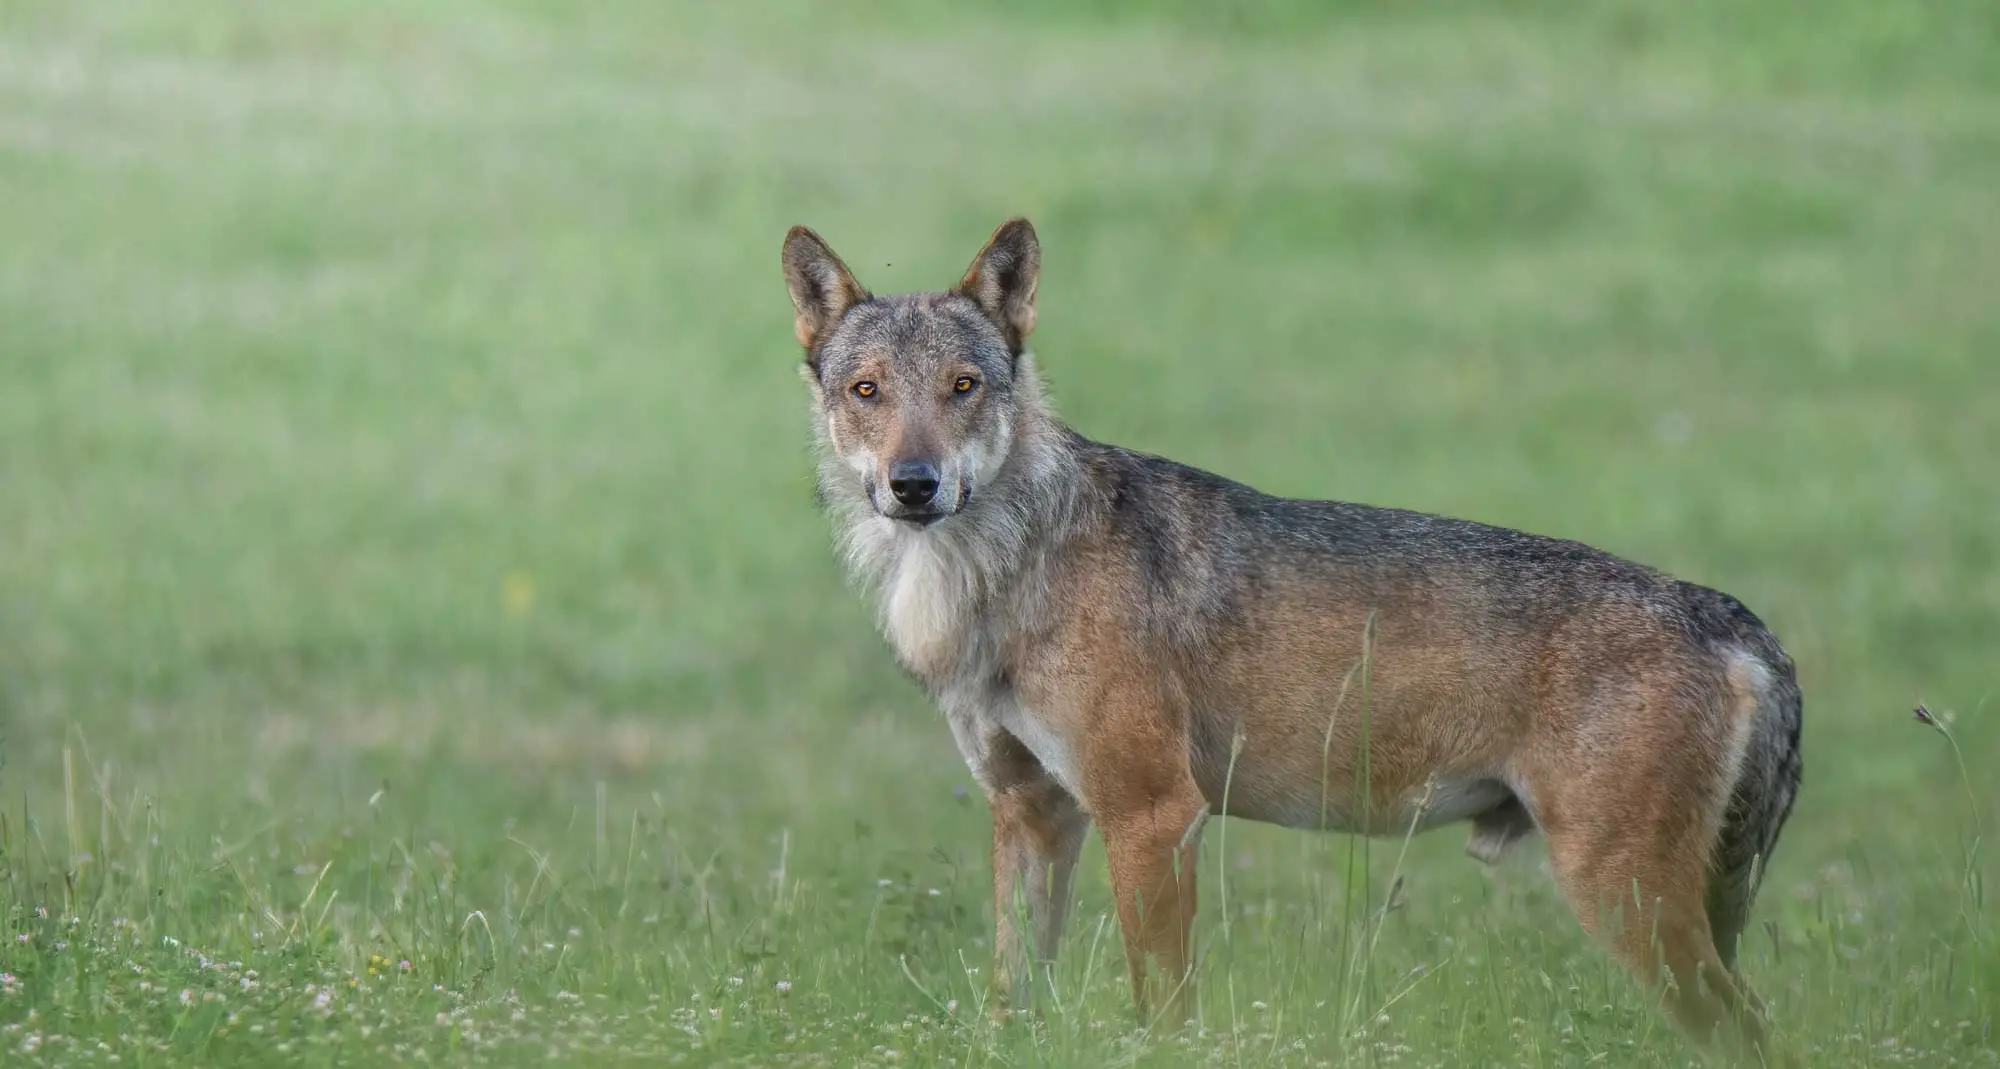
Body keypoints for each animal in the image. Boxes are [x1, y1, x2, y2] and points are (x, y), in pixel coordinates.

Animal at [781, 218, 1801, 1058]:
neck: (999, 573)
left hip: (1627, 901)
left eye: (963, 387)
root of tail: (1736, 620)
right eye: (868, 391)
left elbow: (1164, 1017)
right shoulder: (1032, 814)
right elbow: (1011, 1003)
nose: (915, 484)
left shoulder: (1154, 816)